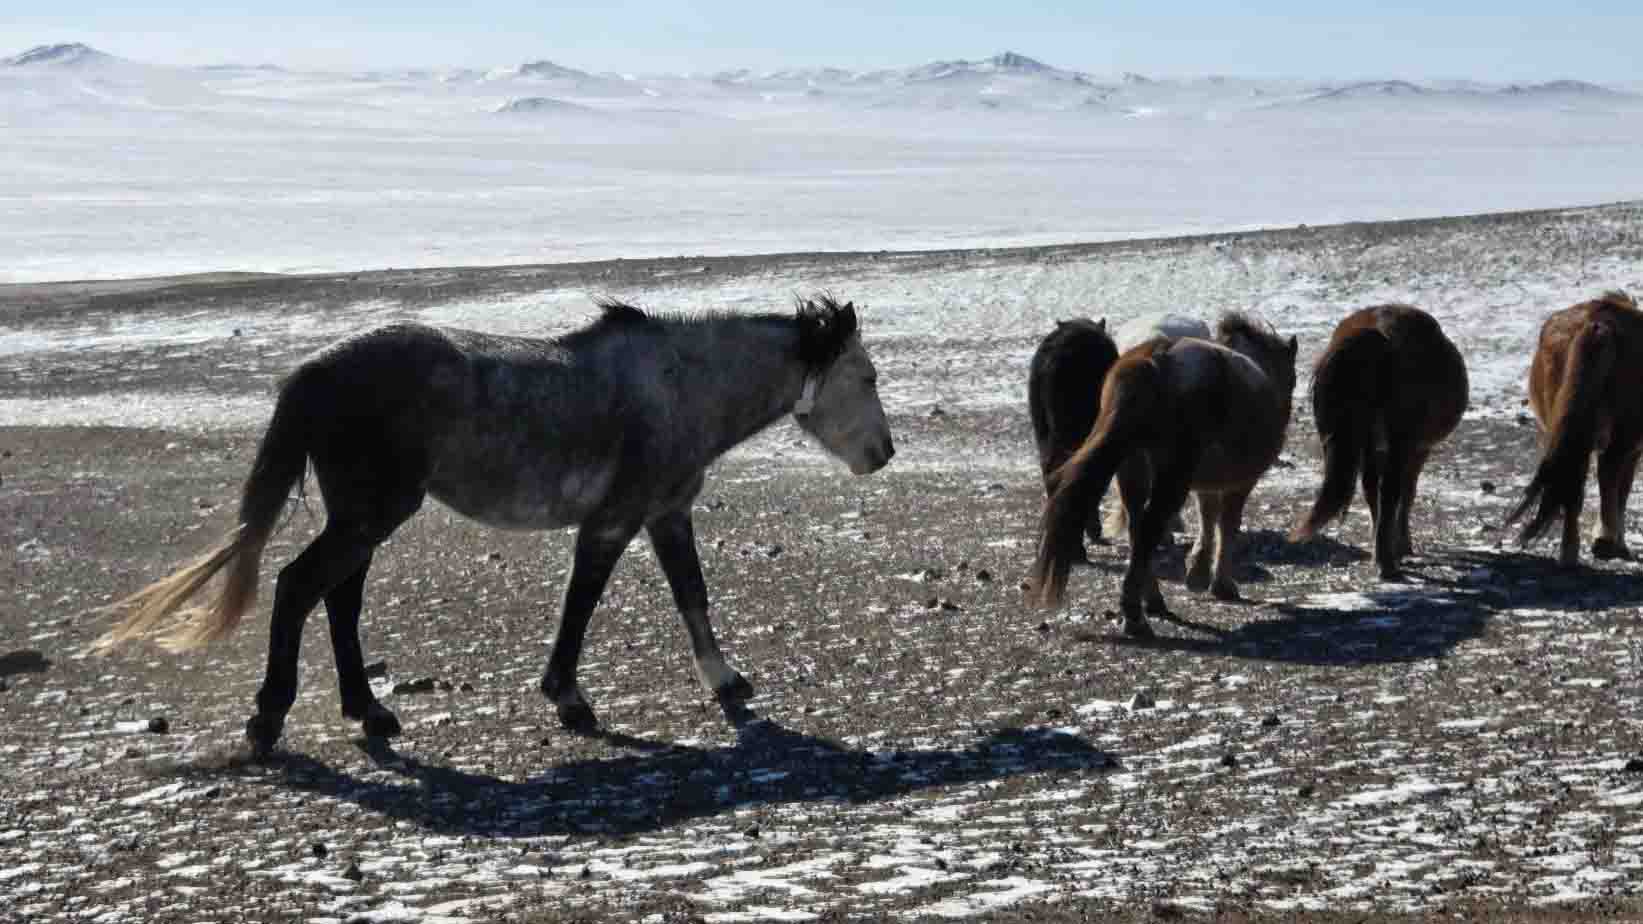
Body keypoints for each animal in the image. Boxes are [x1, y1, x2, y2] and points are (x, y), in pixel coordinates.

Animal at [93, 295, 895, 757]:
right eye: (867, 377)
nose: (883, 453)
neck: (676, 385)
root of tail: (317, 371)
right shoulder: (612, 523)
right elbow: (581, 607)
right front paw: (569, 699)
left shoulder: (667, 514)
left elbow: (691, 597)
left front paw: (726, 680)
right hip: (371, 513)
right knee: (298, 587)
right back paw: (268, 720)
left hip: (362, 518)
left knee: (339, 599)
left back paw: (370, 713)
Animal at [1290, 304, 1468, 579]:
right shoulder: (1417, 449)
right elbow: (1407, 493)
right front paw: (1403, 545)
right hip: (1399, 441)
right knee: (1391, 491)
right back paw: (1387, 562)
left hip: (1367, 442)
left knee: (1373, 489)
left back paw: (1381, 554)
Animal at [1507, 290, 1643, 566]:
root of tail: (1599, 324)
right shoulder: (1634, 448)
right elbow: (1622, 490)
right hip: (1622, 435)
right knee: (1608, 474)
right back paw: (1606, 544)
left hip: (1567, 432)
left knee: (1574, 483)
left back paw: (1570, 553)